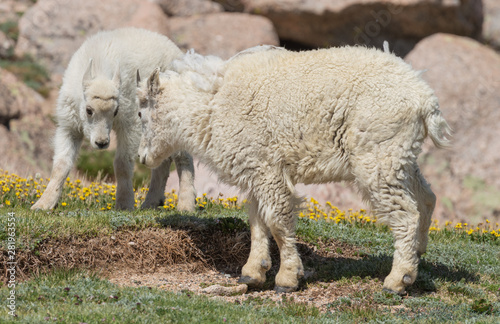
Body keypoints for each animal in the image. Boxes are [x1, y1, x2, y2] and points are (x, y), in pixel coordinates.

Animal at [31, 27, 195, 210]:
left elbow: (122, 164)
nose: (101, 143)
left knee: (184, 159)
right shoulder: (69, 126)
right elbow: (61, 165)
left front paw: (124, 203)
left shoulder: (130, 124)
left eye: (116, 111)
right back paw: (151, 202)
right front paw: (43, 203)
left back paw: (186, 204)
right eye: (89, 110)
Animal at [139, 46, 452, 296]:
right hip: (399, 156)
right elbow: (257, 221)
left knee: (406, 214)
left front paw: (287, 278)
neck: (212, 105)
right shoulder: (255, 170)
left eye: (142, 114)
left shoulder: (268, 169)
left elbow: (277, 221)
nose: (142, 157)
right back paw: (418, 253)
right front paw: (253, 272)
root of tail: (426, 100)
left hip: (378, 157)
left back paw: (398, 279)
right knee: (426, 198)